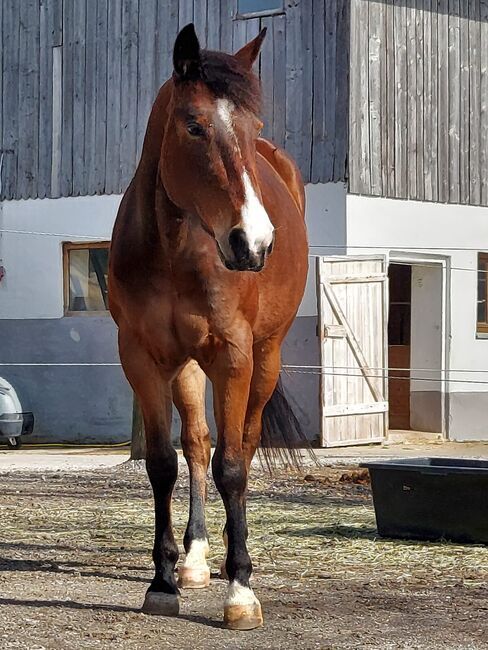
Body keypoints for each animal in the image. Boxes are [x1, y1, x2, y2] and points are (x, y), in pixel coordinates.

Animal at [109, 25, 308, 628]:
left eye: (252, 128)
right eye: (193, 125)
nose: (254, 242)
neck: (175, 247)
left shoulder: (233, 355)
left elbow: (234, 466)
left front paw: (241, 590)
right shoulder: (143, 358)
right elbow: (162, 464)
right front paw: (163, 581)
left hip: (264, 358)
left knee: (242, 442)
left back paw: (227, 557)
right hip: (186, 367)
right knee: (197, 444)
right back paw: (195, 559)